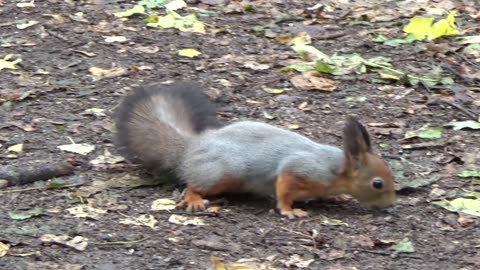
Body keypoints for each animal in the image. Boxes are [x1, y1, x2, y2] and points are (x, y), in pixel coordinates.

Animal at [114, 81, 396, 218]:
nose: (391, 204)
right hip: (225, 173)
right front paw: (289, 210)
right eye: (377, 184)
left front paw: (336, 198)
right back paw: (194, 199)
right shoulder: (300, 170)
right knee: (192, 184)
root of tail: (191, 148)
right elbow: (283, 188)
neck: (336, 169)